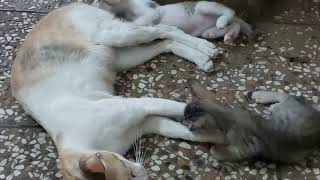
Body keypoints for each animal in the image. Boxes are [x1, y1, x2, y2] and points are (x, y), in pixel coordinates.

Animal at [10, 1, 220, 180]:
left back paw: (205, 47)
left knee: (165, 29)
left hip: (116, 35)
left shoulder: (141, 105)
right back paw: (200, 57)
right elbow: (181, 132)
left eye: (129, 172)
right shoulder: (148, 122)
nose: (145, 174)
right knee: (166, 43)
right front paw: (214, 137)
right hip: (125, 57)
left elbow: (180, 107)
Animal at [93, 0, 255, 44]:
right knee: (235, 24)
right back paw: (227, 35)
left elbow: (142, 20)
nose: (97, 1)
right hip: (204, 31)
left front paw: (131, 25)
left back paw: (222, 21)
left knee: (229, 12)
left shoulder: (151, 11)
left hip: (204, 6)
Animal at [182, 80, 320, 163]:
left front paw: (216, 149)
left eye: (187, 119)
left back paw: (260, 96)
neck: (229, 116)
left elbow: (219, 151)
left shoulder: (246, 148)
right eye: (184, 115)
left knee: (287, 97)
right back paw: (263, 98)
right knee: (287, 98)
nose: (183, 121)